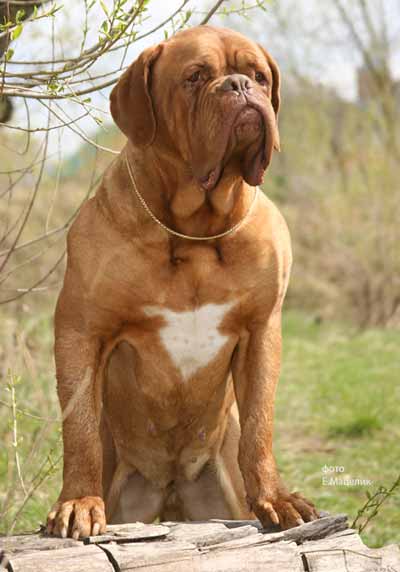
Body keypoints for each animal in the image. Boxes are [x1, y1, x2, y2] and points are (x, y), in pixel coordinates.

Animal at [46, 24, 318, 540]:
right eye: (194, 78)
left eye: (258, 75)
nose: (239, 86)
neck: (197, 229)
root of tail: (168, 487)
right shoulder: (80, 330)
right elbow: (80, 430)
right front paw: (78, 502)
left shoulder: (262, 331)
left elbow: (260, 425)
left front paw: (276, 498)